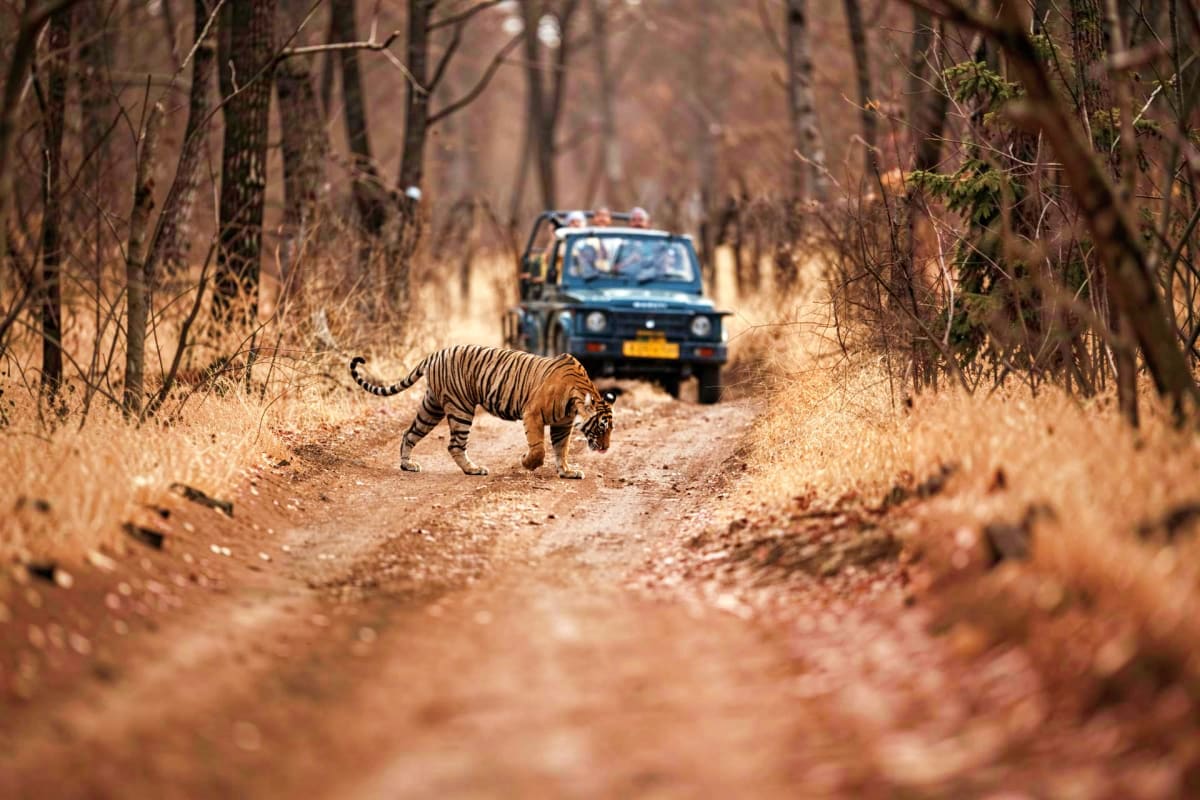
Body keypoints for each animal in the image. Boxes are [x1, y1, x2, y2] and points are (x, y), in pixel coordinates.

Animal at [349, 345, 616, 479]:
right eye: (601, 427)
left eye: (611, 429)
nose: (605, 448)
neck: (576, 398)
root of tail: (435, 354)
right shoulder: (532, 414)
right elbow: (539, 449)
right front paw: (526, 462)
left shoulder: (562, 424)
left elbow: (562, 449)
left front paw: (567, 471)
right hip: (461, 408)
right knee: (455, 445)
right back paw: (473, 470)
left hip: (432, 407)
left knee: (409, 433)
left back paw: (408, 464)